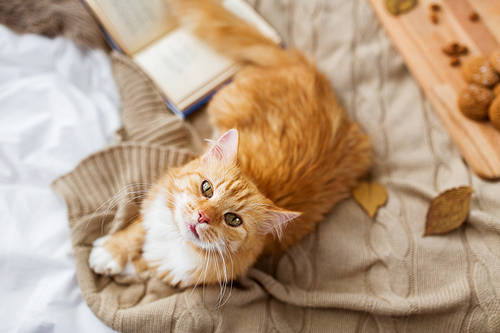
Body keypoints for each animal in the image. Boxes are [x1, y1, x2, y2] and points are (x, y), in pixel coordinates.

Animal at [89, 0, 372, 290]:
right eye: (207, 189)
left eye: (233, 219)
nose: (202, 216)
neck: (175, 240)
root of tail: (311, 72)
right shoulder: (157, 197)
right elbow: (137, 229)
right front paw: (113, 249)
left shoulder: (176, 272)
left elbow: (146, 265)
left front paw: (120, 263)